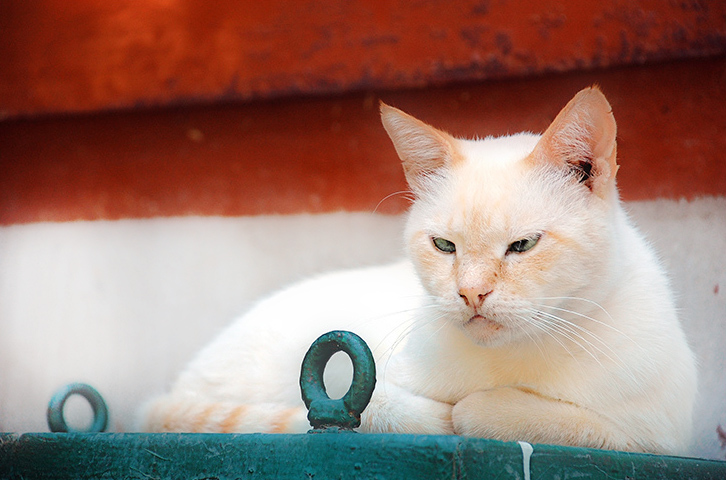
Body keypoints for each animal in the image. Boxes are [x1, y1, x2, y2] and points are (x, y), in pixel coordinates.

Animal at [142, 88, 700, 456]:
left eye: (522, 245)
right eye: (444, 246)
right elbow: (388, 407)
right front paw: (444, 415)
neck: (511, 359)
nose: (471, 294)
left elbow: (549, 419)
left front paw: (483, 409)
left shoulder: (660, 436)